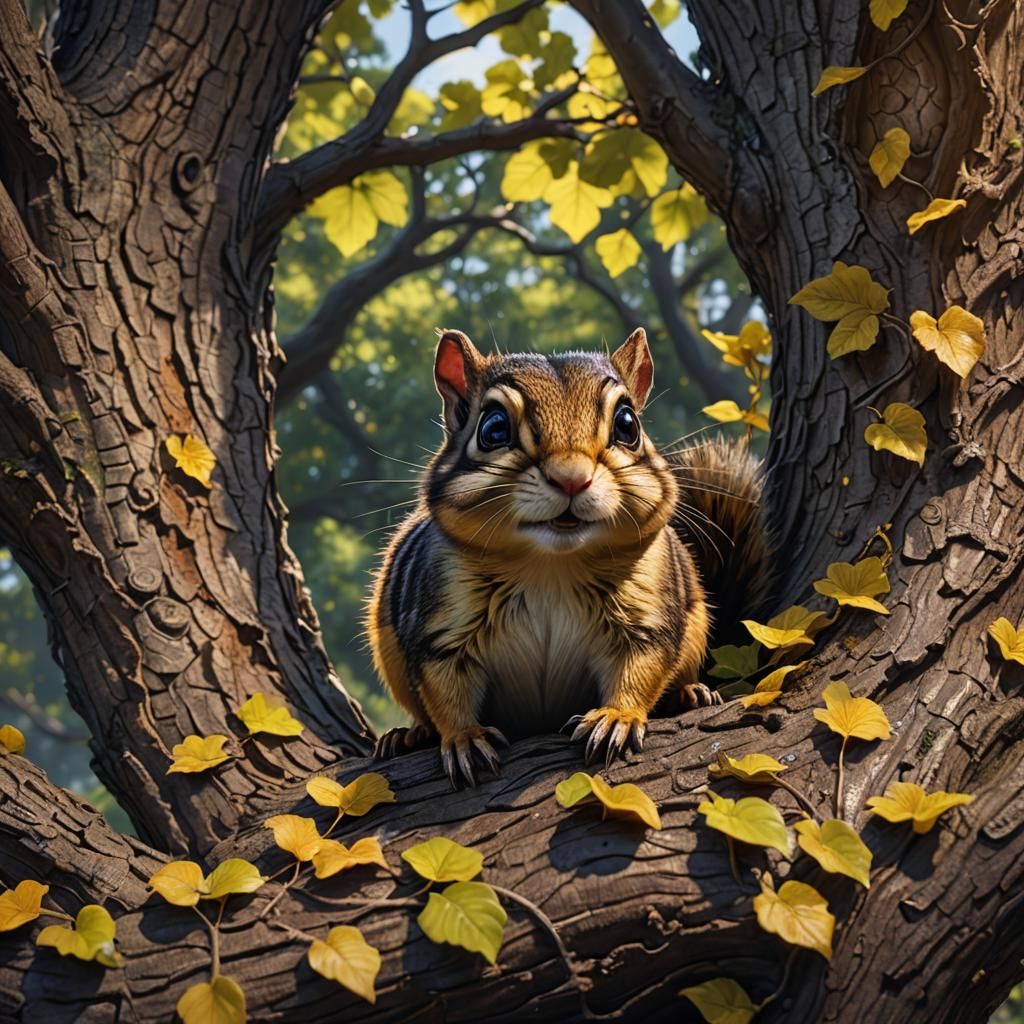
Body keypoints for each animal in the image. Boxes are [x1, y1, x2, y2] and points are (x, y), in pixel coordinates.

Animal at [367, 327, 771, 786]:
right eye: (493, 428)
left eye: (628, 424)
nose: (571, 478)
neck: (550, 566)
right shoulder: (439, 625)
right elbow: (445, 688)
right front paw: (465, 737)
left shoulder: (646, 616)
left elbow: (641, 666)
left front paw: (616, 718)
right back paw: (407, 736)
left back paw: (690, 693)